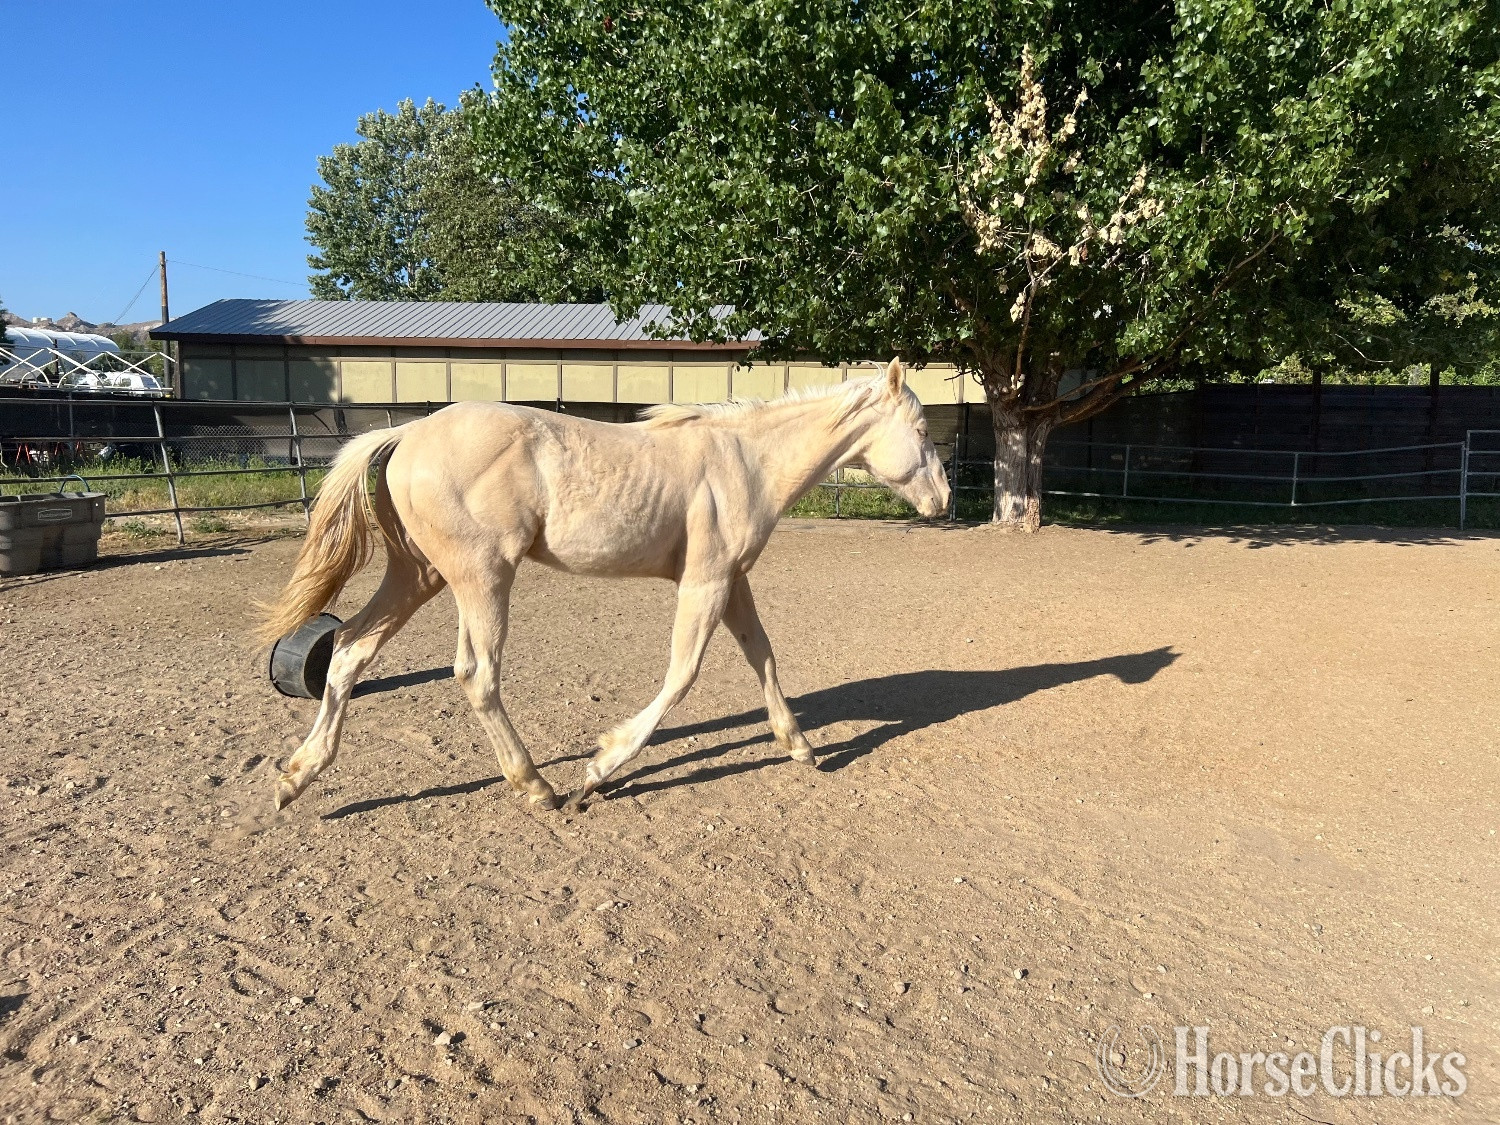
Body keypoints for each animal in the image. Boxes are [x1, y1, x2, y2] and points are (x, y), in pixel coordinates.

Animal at [258, 357, 950, 814]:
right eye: (922, 432)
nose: (943, 502)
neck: (746, 463)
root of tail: (405, 434)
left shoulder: (732, 582)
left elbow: (764, 657)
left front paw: (800, 746)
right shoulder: (703, 584)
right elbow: (682, 674)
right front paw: (601, 766)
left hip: (418, 574)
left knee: (348, 650)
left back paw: (296, 777)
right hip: (482, 577)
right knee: (476, 674)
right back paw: (537, 787)